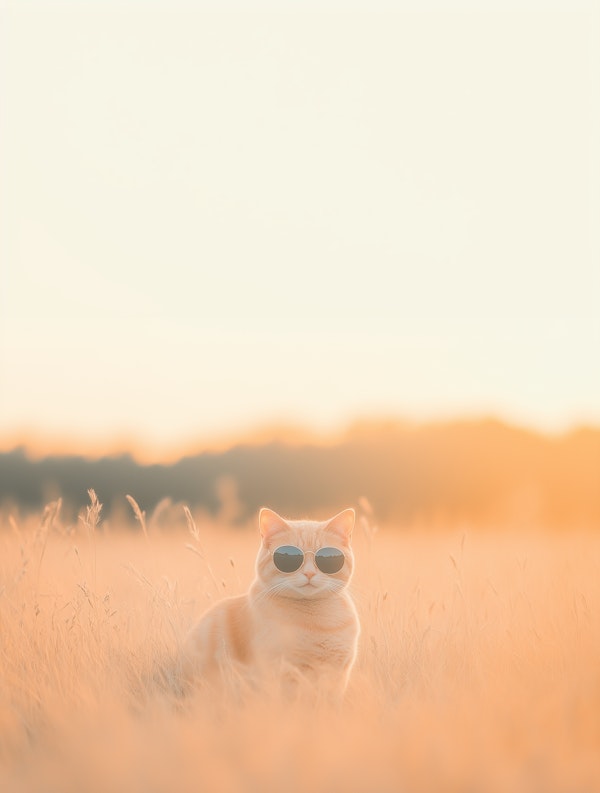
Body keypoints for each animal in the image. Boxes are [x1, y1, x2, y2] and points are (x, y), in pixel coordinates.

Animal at [183, 508, 360, 692]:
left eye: (329, 558)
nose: (309, 573)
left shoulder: (337, 675)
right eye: (288, 557)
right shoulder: (283, 671)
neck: (317, 623)